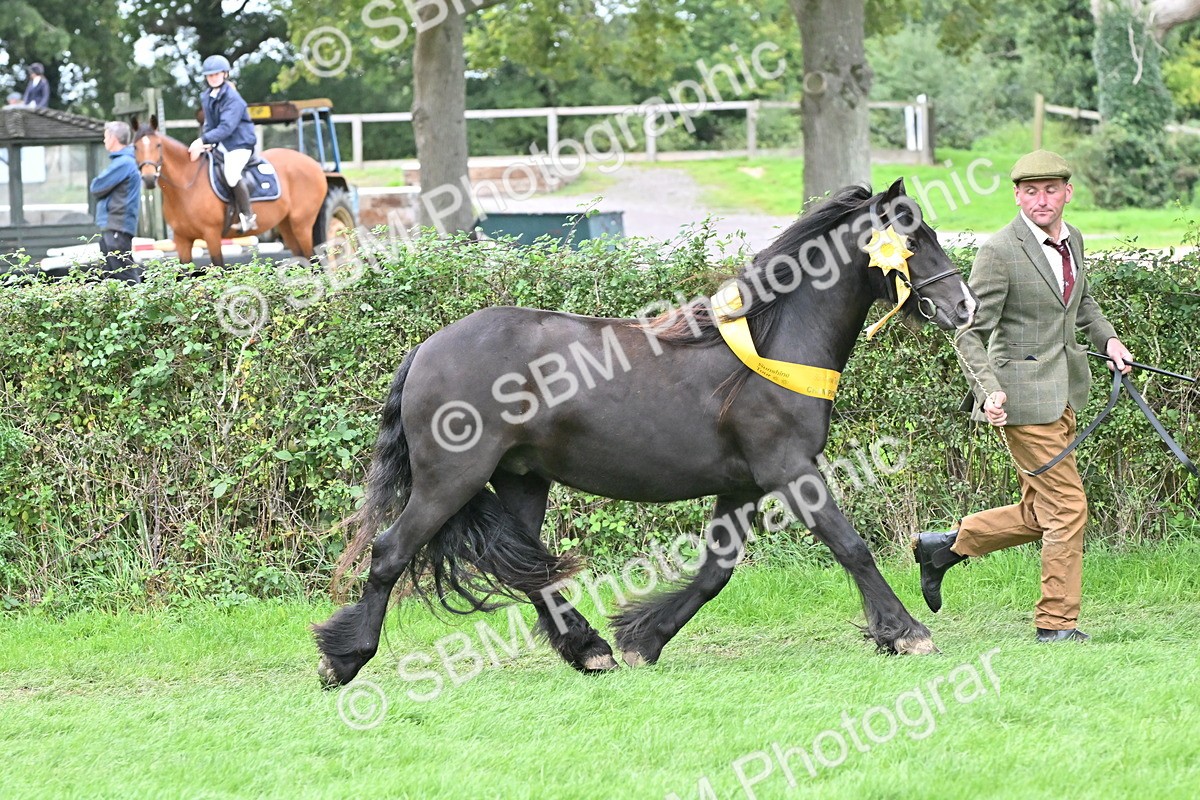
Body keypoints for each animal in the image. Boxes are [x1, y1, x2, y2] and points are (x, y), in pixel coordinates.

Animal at [131, 116, 328, 268]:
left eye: (158, 145)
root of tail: (313, 164)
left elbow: (219, 270)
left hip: (301, 225)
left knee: (315, 262)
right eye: (135, 147)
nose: (148, 179)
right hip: (287, 226)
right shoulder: (182, 239)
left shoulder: (211, 235)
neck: (185, 186)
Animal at [312, 178, 978, 687]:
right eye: (912, 238)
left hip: (521, 481)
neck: (769, 346)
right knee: (390, 552)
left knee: (527, 571)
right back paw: (344, 660)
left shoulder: (742, 485)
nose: (964, 307)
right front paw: (907, 632)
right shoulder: (790, 469)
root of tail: (426, 350)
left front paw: (643, 639)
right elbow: (851, 546)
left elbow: (713, 573)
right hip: (449, 479)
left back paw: (590, 650)